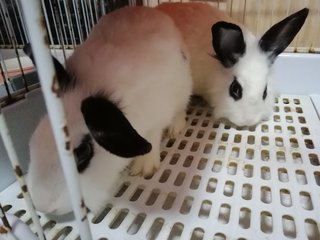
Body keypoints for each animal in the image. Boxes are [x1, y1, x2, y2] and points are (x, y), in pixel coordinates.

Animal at [25, 6, 192, 214]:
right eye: (36, 137)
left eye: (82, 152)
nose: (43, 206)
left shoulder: (156, 119)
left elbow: (152, 140)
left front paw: (144, 168)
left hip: (184, 89)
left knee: (181, 110)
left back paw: (175, 129)